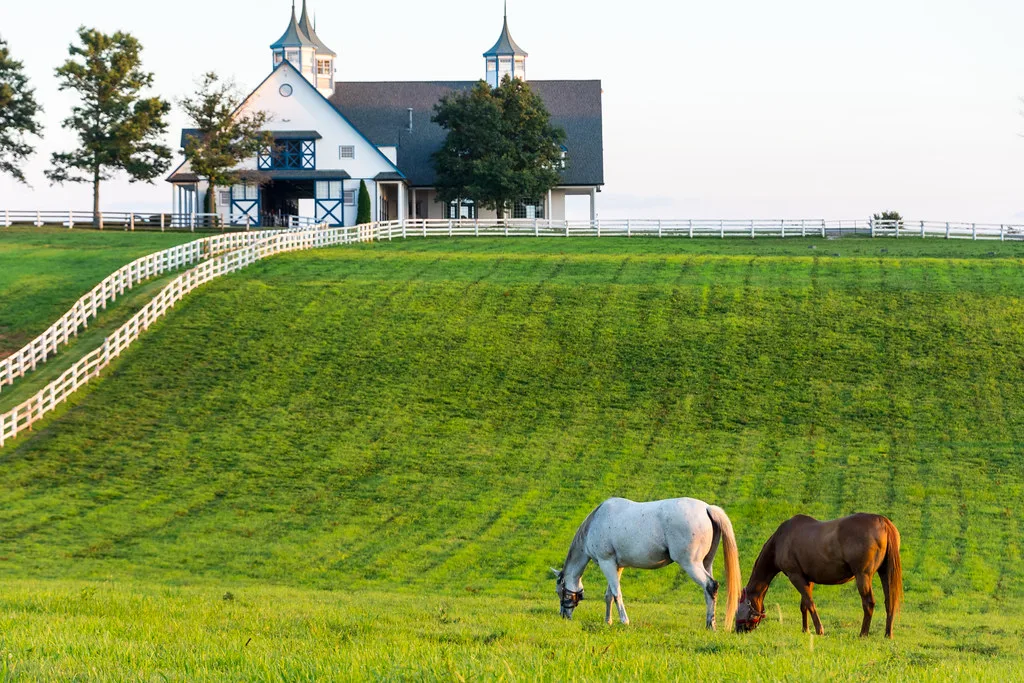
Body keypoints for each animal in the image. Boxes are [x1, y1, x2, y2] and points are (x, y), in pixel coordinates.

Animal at [551, 497, 741, 630]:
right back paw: (710, 622)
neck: (596, 521)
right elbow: (609, 595)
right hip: (706, 563)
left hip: (691, 564)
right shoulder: (617, 566)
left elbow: (617, 594)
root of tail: (707, 508)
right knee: (709, 591)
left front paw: (624, 621)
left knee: (710, 585)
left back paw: (710, 625)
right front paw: (608, 621)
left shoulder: (607, 563)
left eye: (560, 592)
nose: (564, 615)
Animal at [734, 513, 903, 638]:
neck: (780, 540)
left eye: (738, 606)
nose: (737, 629)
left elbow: (809, 603)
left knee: (868, 603)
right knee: (890, 602)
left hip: (863, 576)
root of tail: (883, 521)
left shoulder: (795, 576)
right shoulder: (807, 579)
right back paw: (888, 634)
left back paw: (863, 634)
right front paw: (805, 629)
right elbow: (804, 605)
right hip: (884, 573)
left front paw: (819, 630)